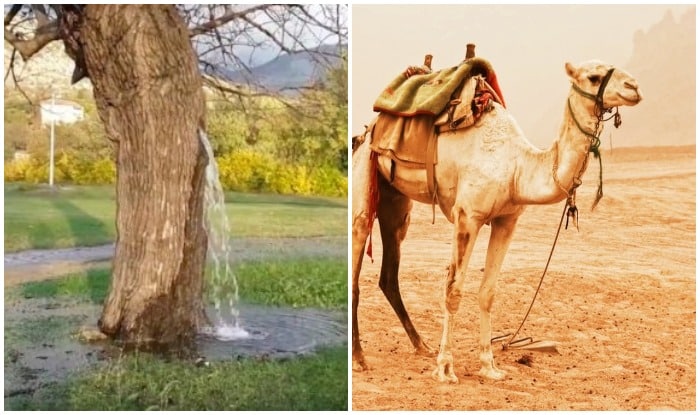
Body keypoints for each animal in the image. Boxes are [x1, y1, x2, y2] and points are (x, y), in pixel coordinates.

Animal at [352, 58, 644, 384]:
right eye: (593, 77)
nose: (634, 87)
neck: (517, 167)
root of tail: (370, 128)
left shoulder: (507, 221)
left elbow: (488, 293)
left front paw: (489, 366)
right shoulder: (467, 216)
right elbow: (453, 291)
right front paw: (446, 368)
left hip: (396, 203)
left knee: (389, 272)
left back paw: (421, 345)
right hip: (365, 170)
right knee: (357, 256)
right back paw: (360, 358)